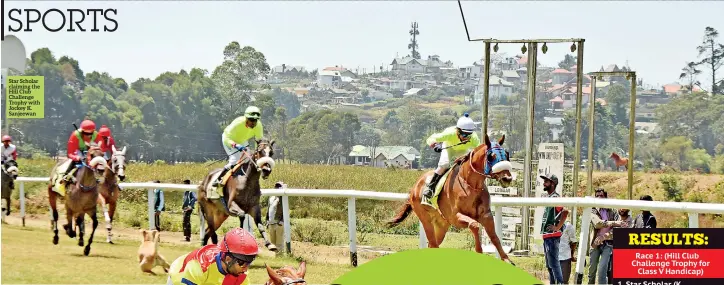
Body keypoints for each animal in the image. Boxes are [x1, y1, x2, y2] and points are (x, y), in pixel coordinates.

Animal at [388, 134, 516, 262]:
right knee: (433, 243)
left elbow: (494, 236)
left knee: (433, 244)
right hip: (425, 219)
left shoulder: (486, 215)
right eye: (491, 156)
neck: (471, 185)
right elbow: (474, 225)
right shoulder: (455, 217)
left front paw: (506, 259)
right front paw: (479, 251)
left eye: (506, 154)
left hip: (442, 225)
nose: (507, 178)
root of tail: (415, 186)